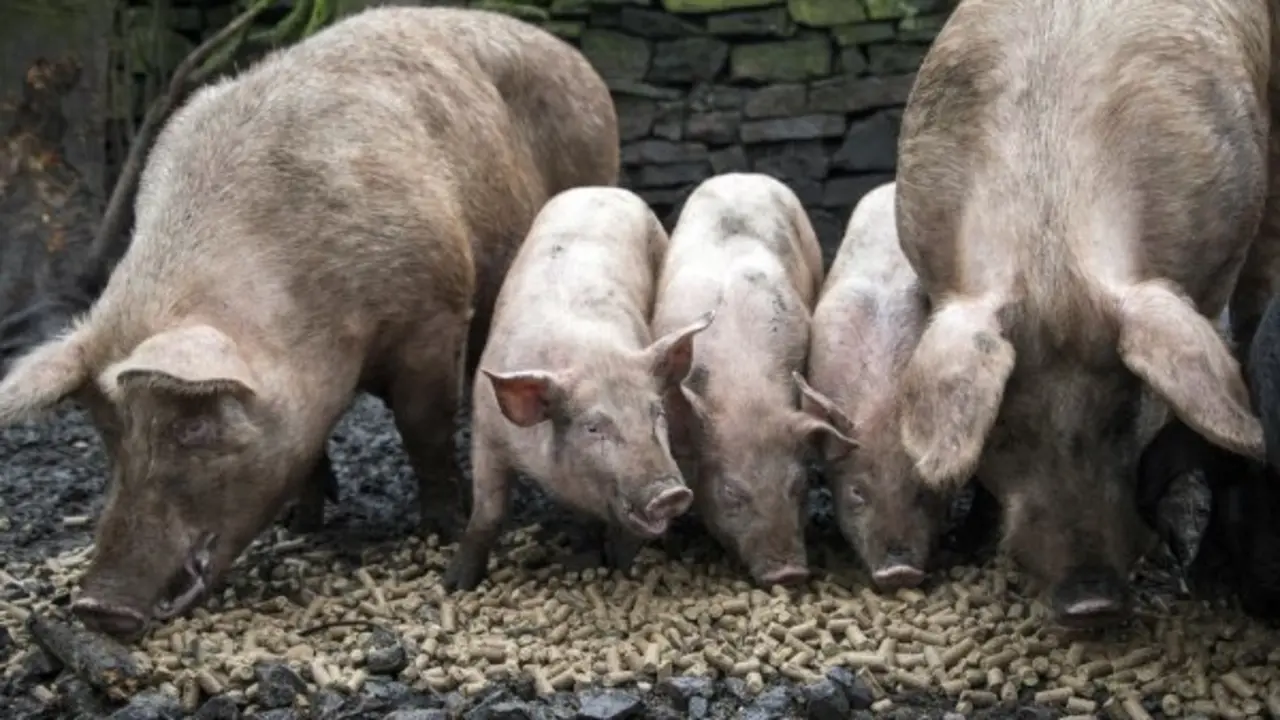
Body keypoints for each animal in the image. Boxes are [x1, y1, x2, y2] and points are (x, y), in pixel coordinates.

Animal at [0, 6, 619, 639]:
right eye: (106, 429)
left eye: (192, 427)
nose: (98, 607)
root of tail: (574, 58)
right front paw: (302, 524)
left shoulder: (435, 314)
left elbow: (424, 428)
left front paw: (441, 527)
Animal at [443, 187, 712, 592]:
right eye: (593, 427)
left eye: (657, 412)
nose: (670, 493)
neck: (591, 355)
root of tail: (603, 189)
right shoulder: (486, 430)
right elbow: (488, 511)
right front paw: (455, 585)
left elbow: (623, 533)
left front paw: (620, 570)